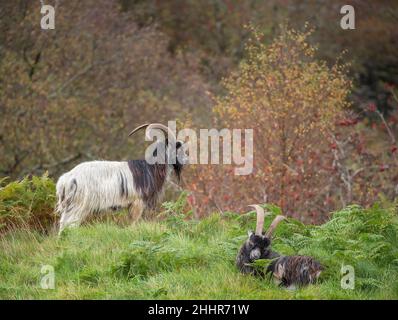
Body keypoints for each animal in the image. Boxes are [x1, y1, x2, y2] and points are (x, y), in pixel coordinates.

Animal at [55, 122, 187, 232]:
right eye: (177, 147)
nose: (186, 160)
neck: (149, 168)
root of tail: (66, 179)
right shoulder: (137, 202)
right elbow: (133, 223)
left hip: (70, 206)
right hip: (78, 205)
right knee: (69, 225)